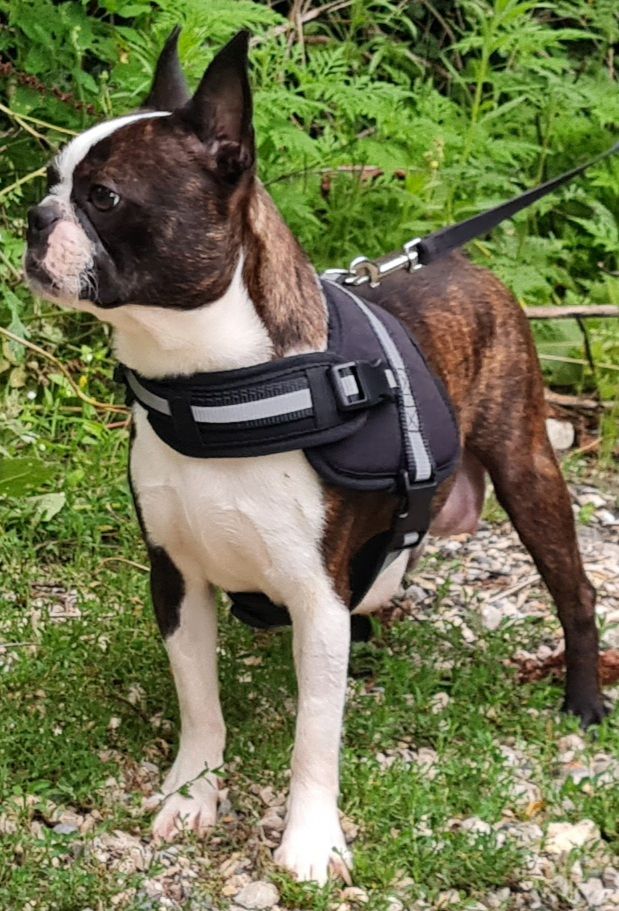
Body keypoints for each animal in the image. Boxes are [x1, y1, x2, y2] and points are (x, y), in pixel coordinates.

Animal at [24, 28, 606, 884]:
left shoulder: (314, 595)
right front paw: (191, 797)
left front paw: (307, 840)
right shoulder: (176, 578)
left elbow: (313, 739)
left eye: (104, 197)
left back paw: (584, 700)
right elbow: (200, 706)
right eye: (50, 181)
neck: (215, 384)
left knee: (574, 591)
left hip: (528, 470)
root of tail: (463, 263)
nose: (31, 218)